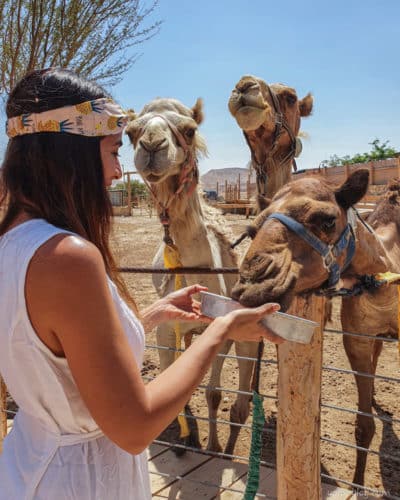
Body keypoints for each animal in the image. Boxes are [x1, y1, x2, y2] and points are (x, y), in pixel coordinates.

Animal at [126, 95, 260, 456]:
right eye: (130, 132)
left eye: (189, 129)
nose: (152, 145)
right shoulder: (164, 330)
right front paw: (186, 438)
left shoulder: (223, 332)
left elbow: (215, 394)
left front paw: (216, 447)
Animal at [231, 169, 400, 488]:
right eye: (251, 230)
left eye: (328, 220)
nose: (251, 286)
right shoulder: (357, 338)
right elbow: (363, 427)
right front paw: (357, 482)